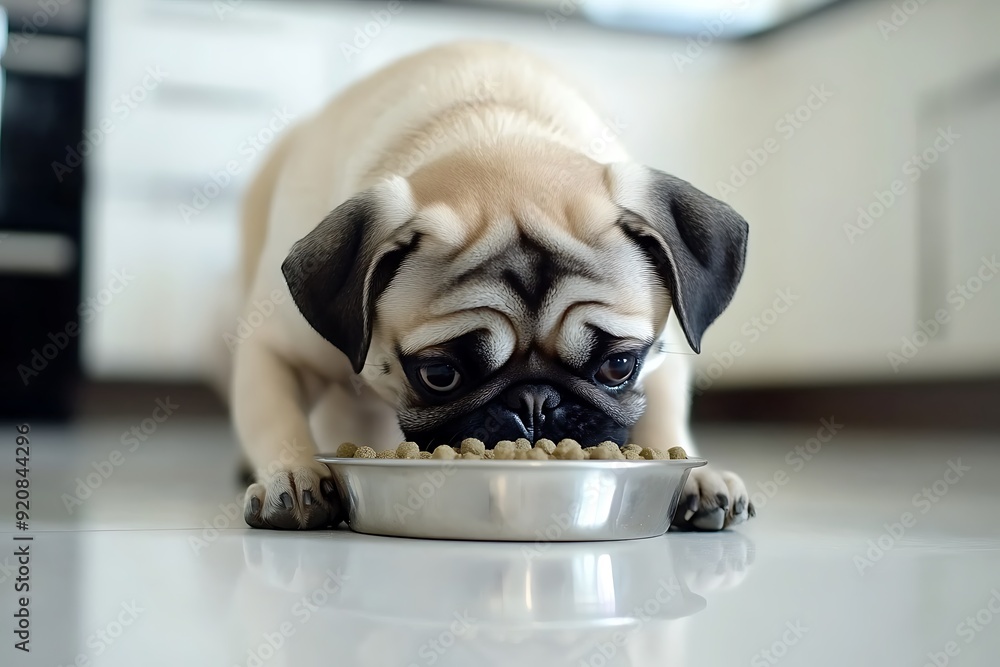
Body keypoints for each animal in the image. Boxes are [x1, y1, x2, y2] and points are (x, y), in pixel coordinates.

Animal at [232, 40, 752, 532]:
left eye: (619, 366)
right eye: (440, 375)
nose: (535, 403)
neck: (493, 129)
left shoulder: (661, 356)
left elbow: (663, 412)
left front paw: (696, 477)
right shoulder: (273, 348)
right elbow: (275, 415)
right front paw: (294, 474)